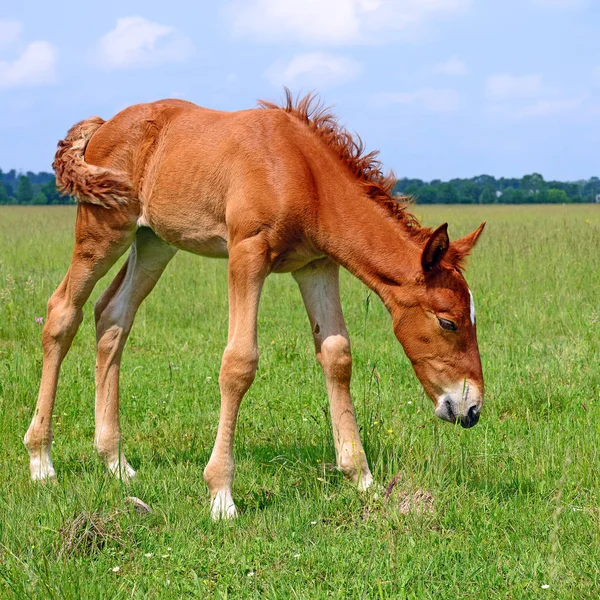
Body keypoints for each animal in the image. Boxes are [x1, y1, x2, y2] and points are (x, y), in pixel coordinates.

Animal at [24, 91, 488, 516]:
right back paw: (41, 460)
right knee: (62, 312)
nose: (470, 408)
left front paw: (363, 479)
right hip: (103, 230)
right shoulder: (247, 254)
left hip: (154, 240)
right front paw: (221, 495)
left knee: (113, 315)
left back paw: (116, 462)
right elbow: (239, 363)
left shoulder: (317, 266)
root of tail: (105, 125)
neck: (302, 173)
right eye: (448, 322)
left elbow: (337, 354)